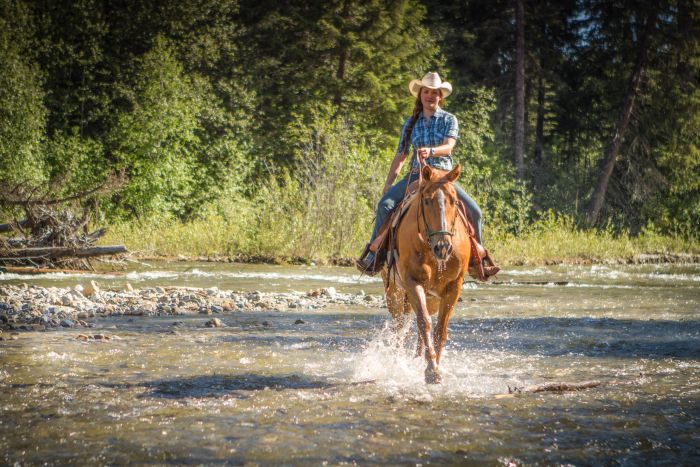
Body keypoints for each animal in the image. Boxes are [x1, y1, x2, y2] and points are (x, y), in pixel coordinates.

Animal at [382, 164, 470, 384]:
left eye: (454, 201)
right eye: (426, 200)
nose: (443, 247)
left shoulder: (453, 287)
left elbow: (440, 330)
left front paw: (435, 365)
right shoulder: (413, 283)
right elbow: (424, 324)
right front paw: (431, 370)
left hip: (431, 299)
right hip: (395, 293)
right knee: (400, 328)